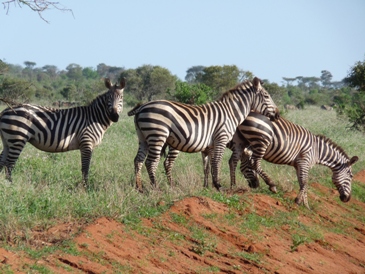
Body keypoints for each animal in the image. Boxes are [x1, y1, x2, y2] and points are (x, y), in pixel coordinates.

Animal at [128, 77, 278, 193]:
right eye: (266, 96)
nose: (277, 115)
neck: (230, 113)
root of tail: (142, 107)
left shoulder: (209, 146)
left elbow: (208, 166)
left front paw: (208, 187)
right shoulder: (221, 138)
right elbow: (217, 162)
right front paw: (219, 186)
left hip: (143, 138)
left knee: (138, 160)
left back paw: (139, 188)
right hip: (157, 135)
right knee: (151, 162)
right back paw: (156, 188)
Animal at [226, 111, 356, 210]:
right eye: (351, 176)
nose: (347, 199)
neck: (318, 151)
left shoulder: (298, 165)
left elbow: (302, 183)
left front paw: (306, 205)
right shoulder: (304, 161)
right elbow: (305, 182)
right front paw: (298, 201)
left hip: (241, 140)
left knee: (234, 161)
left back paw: (233, 186)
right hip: (260, 141)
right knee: (254, 163)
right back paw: (271, 185)